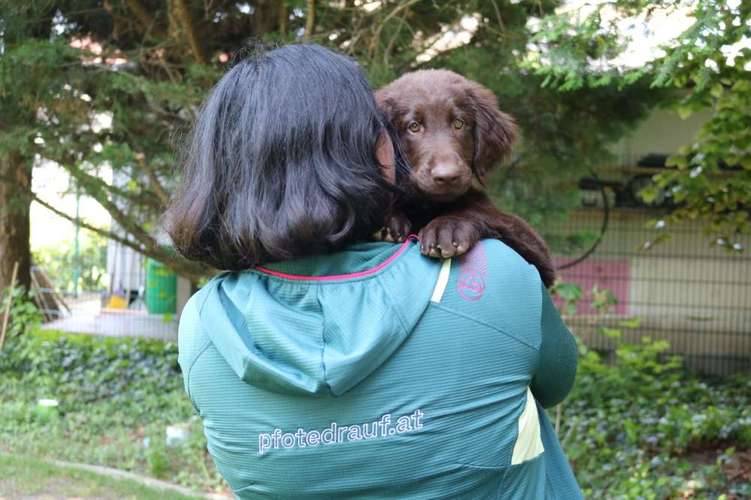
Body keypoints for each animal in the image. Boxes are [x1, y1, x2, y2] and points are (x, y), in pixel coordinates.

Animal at [376, 69, 560, 288]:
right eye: (414, 126)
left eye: (459, 123)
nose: (447, 176)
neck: (427, 205)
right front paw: (389, 219)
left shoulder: (541, 260)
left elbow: (478, 210)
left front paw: (448, 226)